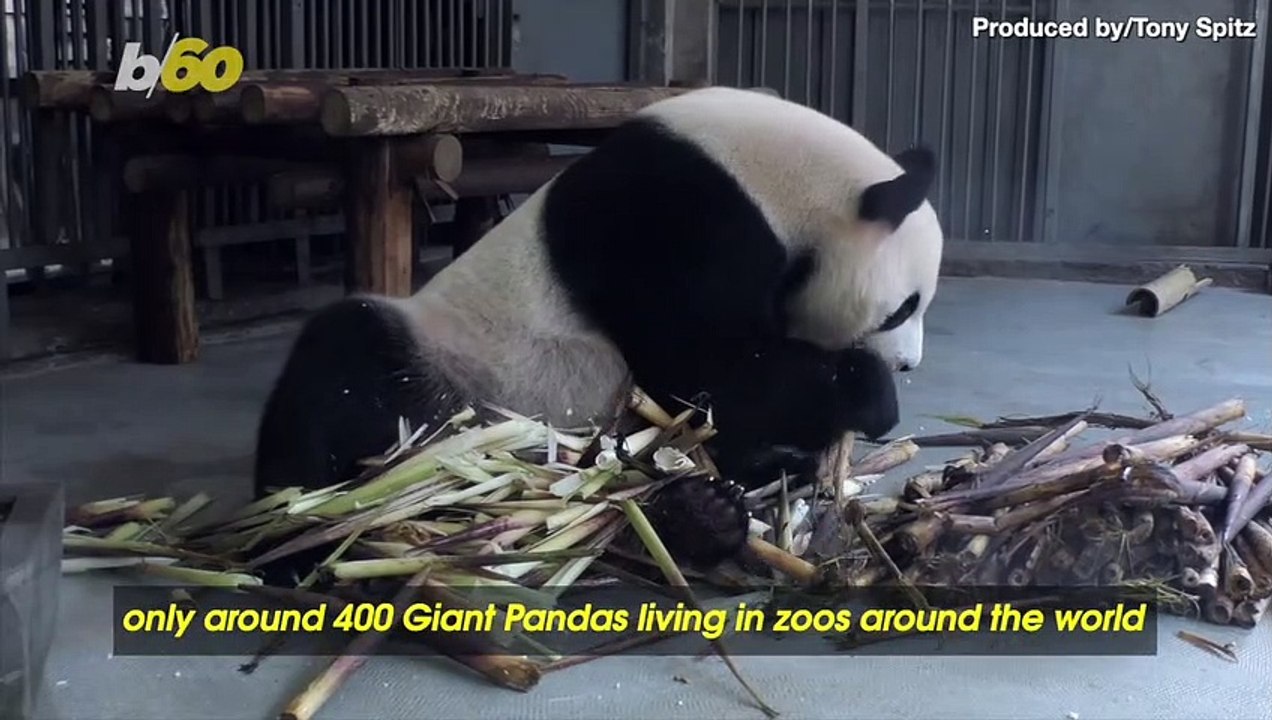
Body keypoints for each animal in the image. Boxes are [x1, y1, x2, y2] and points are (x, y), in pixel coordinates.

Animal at [253, 86, 943, 570]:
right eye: (903, 307)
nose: (909, 364)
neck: (781, 182)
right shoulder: (674, 217)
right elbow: (704, 368)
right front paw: (865, 392)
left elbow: (715, 404)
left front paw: (790, 455)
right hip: (452, 363)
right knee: (344, 365)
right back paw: (292, 541)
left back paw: (702, 518)